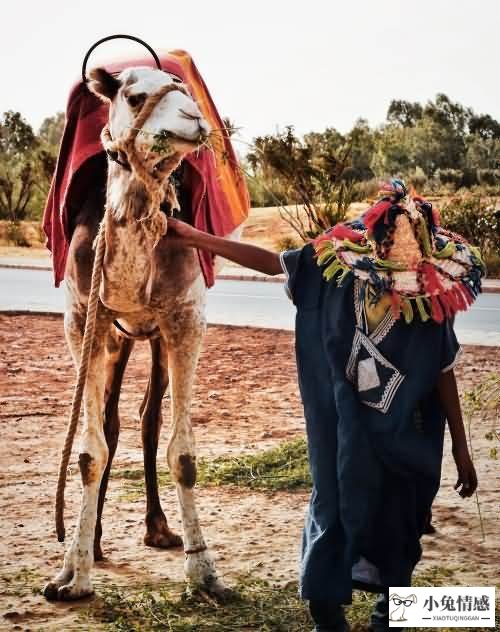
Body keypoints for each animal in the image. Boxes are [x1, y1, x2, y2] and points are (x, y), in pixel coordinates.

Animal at [44, 64, 229, 604]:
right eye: (133, 95)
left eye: (186, 90)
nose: (194, 120)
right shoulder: (83, 319)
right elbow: (89, 451)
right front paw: (72, 573)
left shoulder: (185, 319)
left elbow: (182, 454)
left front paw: (203, 571)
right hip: (116, 337)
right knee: (111, 420)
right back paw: (98, 540)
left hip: (153, 336)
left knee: (148, 417)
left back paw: (159, 528)